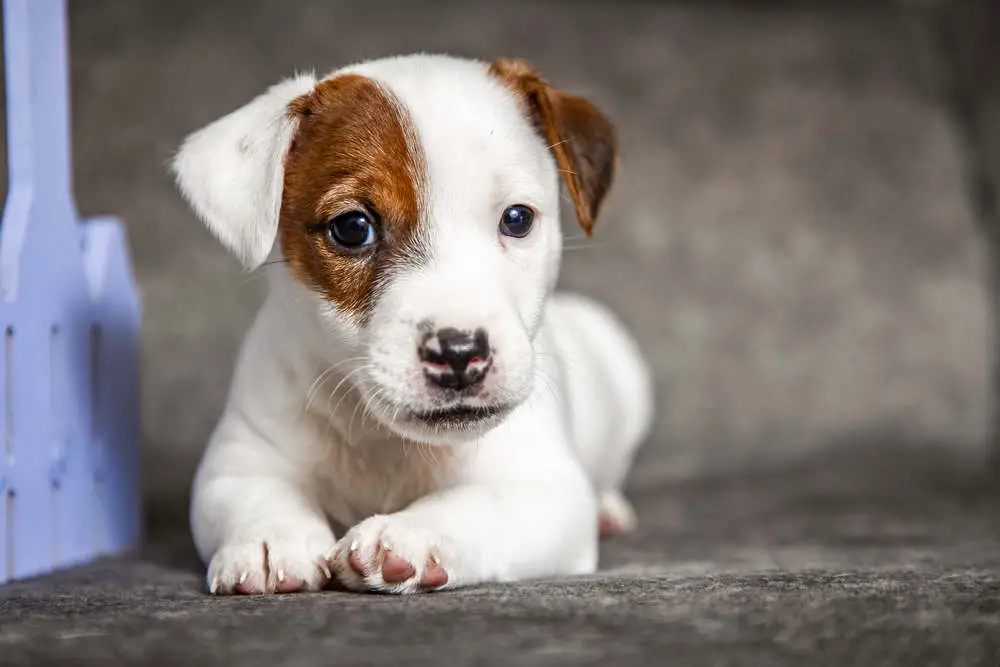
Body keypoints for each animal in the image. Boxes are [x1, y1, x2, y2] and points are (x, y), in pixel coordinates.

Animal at [172, 52, 656, 596]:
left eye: (517, 219)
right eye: (353, 228)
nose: (460, 353)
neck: (387, 441)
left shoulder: (546, 490)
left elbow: (478, 504)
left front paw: (409, 534)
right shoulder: (239, 459)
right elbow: (256, 492)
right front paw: (270, 538)